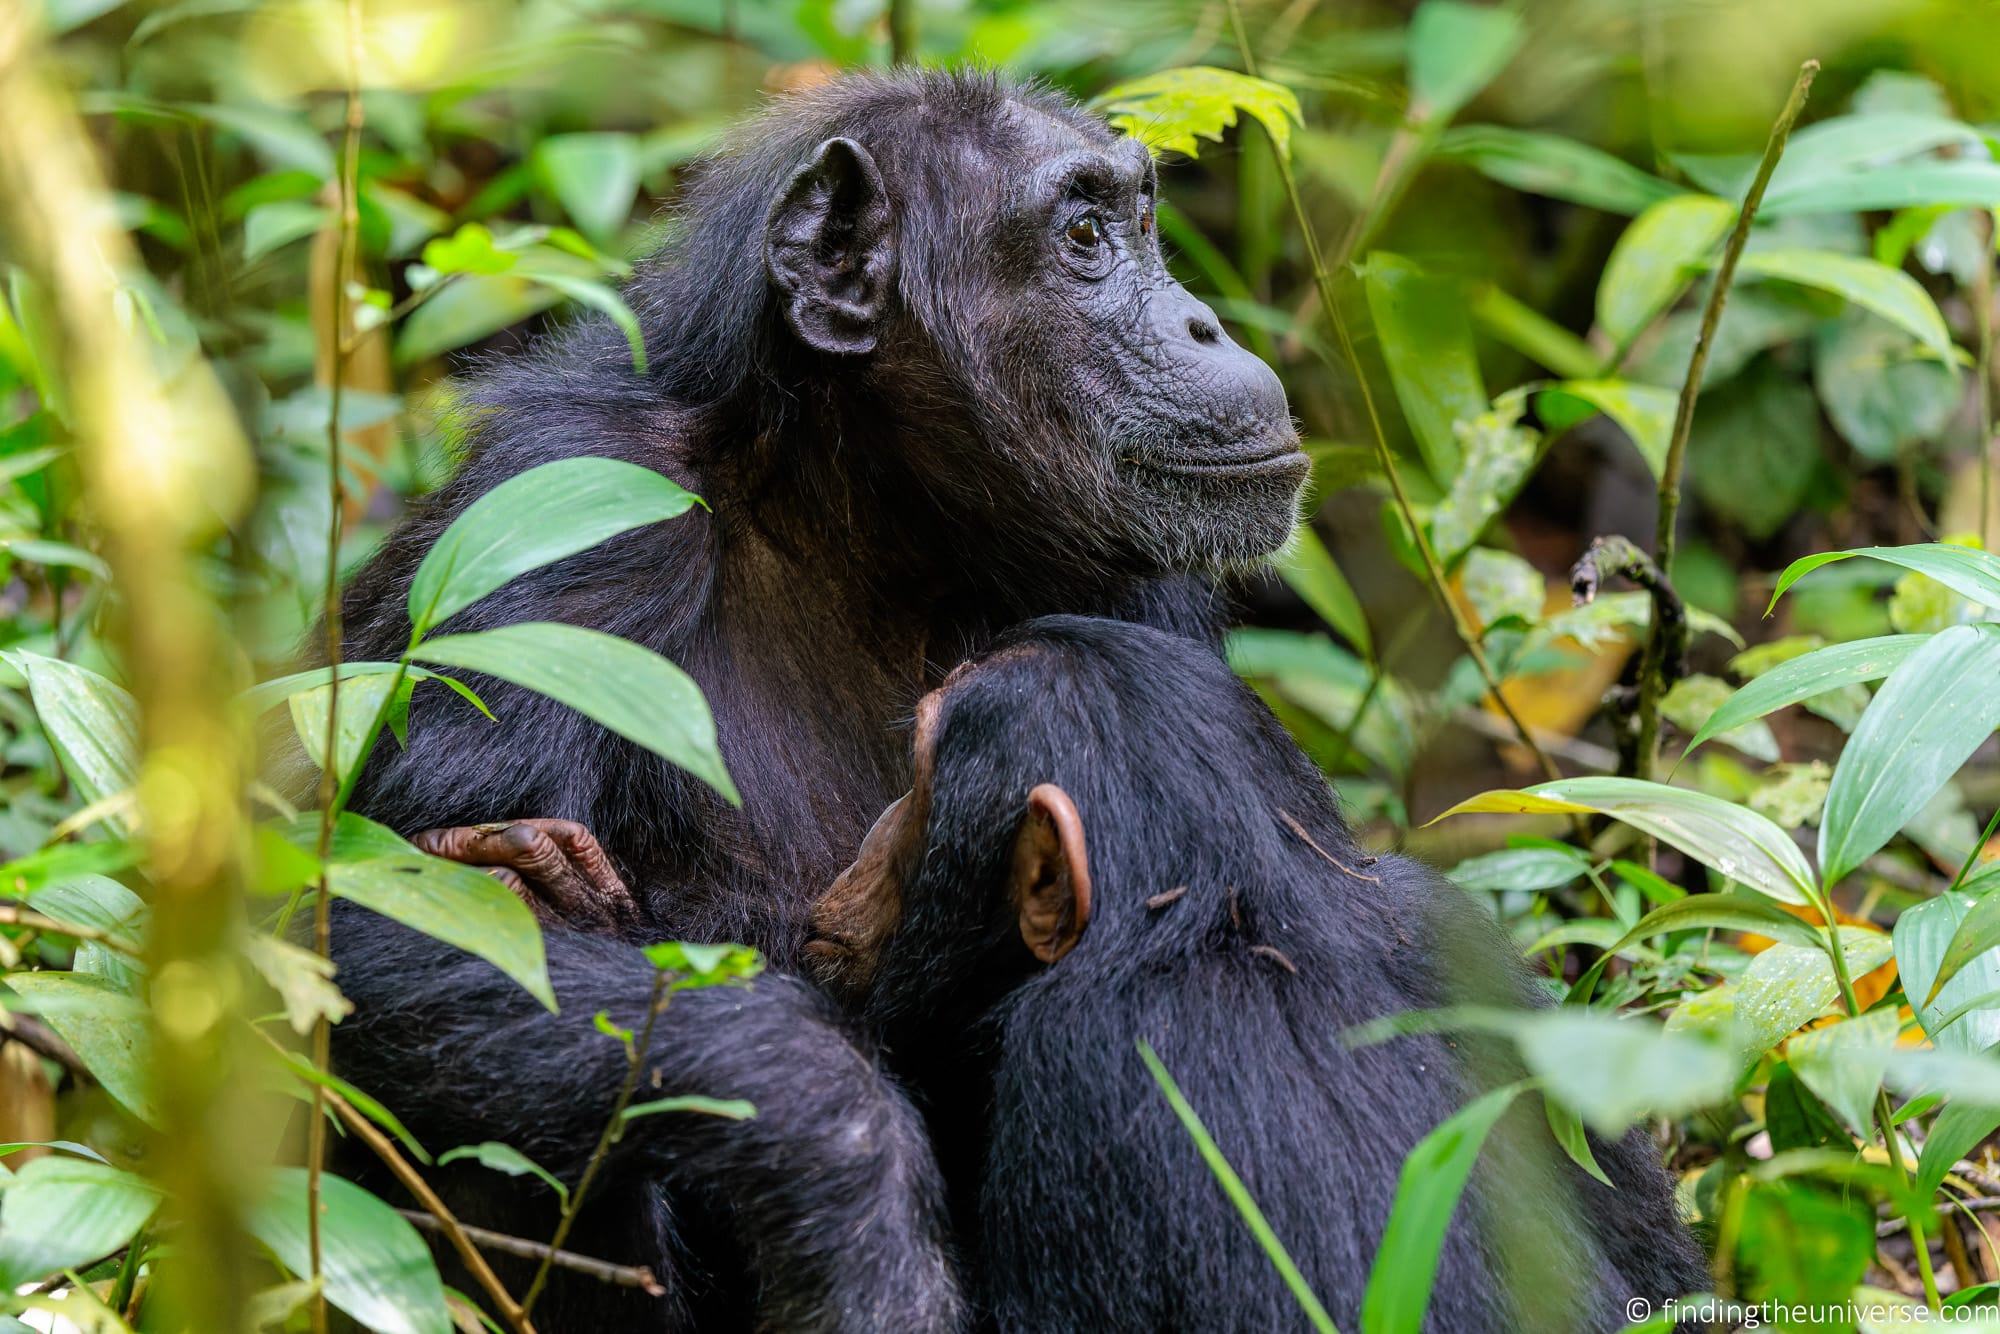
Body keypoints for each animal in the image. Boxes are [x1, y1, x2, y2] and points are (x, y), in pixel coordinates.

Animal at [324, 70, 1312, 1328]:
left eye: (1140, 222)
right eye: (1085, 237)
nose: (1203, 322)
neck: (863, 524)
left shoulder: (1143, 592)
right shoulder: (556, 511)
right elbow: (371, 897)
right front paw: (847, 1166)